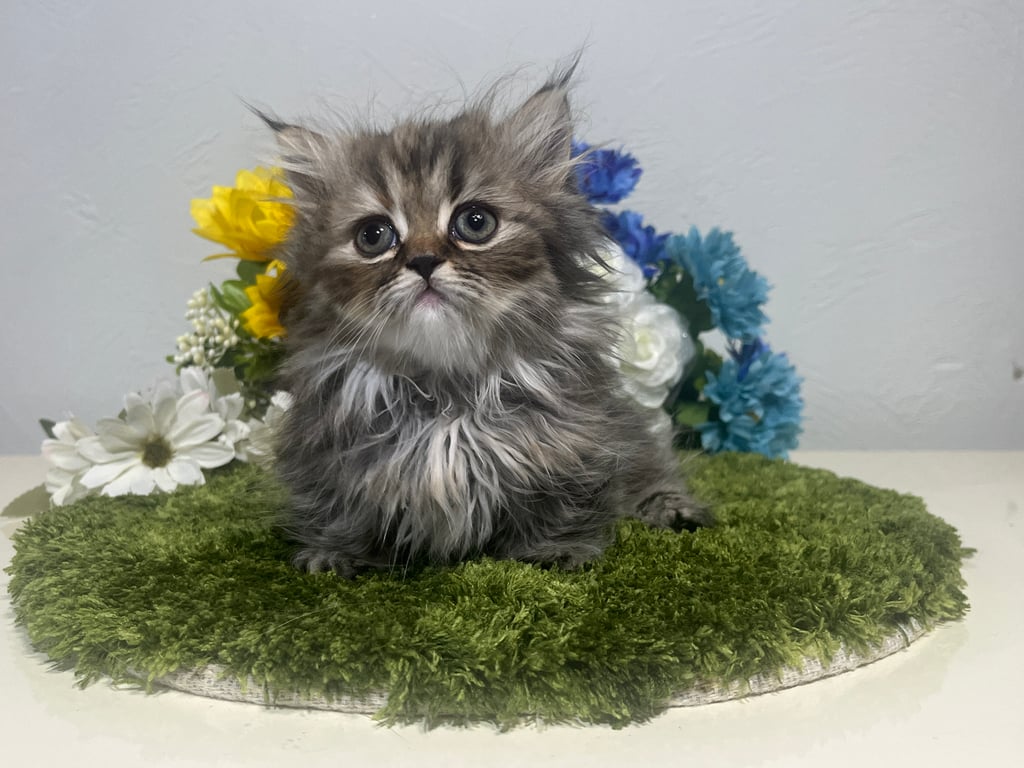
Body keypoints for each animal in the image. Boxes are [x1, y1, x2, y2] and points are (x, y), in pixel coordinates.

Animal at [264, 64, 710, 576]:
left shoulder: (581, 440)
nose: (422, 261)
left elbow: (567, 500)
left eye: (475, 223)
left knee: (651, 471)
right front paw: (336, 553)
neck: (446, 397)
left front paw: (555, 550)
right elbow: (337, 510)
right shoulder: (324, 455)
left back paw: (673, 509)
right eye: (373, 236)